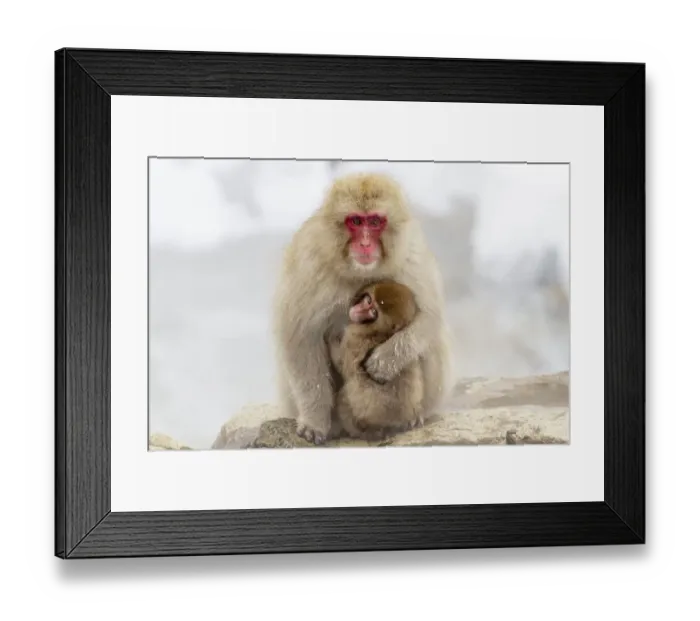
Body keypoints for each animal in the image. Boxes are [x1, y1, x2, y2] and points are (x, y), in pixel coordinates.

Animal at [328, 280, 425, 440]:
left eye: (373, 312)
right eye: (368, 301)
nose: (359, 310)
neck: (378, 331)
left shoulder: (353, 337)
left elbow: (342, 365)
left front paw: (330, 338)